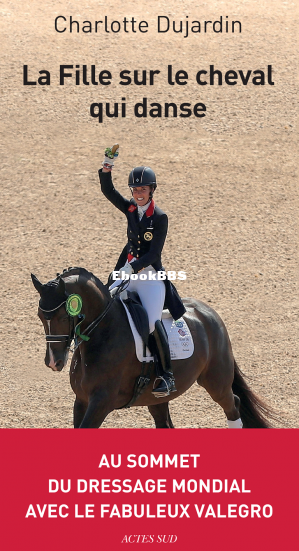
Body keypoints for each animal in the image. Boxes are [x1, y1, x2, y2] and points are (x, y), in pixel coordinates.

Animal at [31, 270, 274, 430]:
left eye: (64, 317)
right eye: (41, 316)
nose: (53, 362)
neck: (104, 332)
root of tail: (209, 312)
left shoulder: (101, 402)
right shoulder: (81, 401)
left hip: (216, 382)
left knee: (233, 405)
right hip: (155, 398)